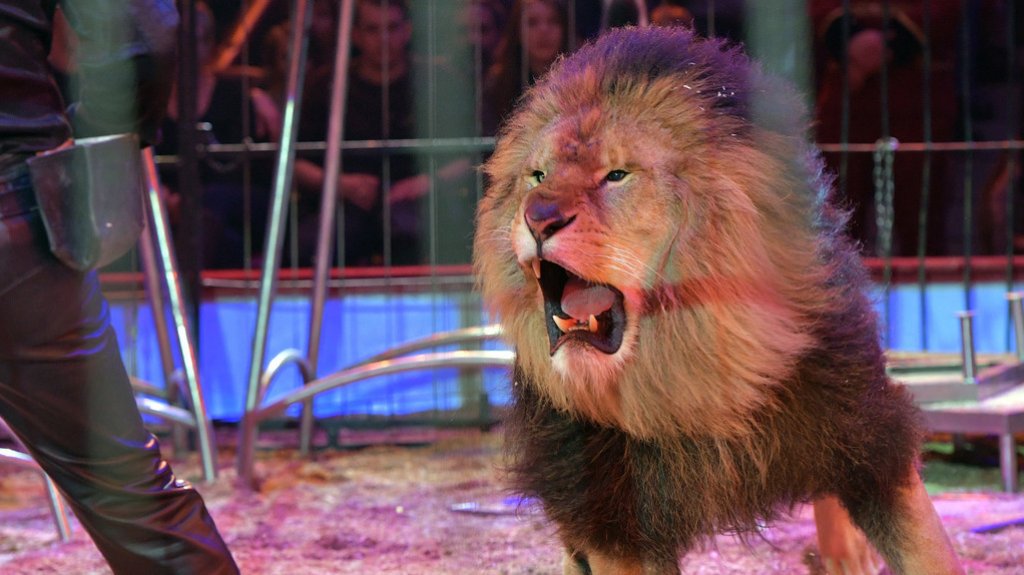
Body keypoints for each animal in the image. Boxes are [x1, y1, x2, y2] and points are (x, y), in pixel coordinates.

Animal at [473, 26, 963, 575]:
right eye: (537, 176)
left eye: (617, 175)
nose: (539, 217)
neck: (695, 385)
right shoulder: (609, 514)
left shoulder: (867, 433)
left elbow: (928, 550)